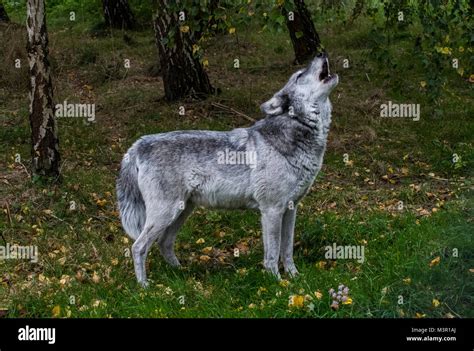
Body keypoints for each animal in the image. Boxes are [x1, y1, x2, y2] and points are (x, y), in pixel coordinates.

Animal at [116, 53, 338, 288]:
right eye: (299, 75)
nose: (321, 53)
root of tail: (138, 145)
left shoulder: (291, 209)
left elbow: (287, 251)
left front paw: (295, 279)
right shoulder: (271, 210)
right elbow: (272, 254)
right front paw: (276, 282)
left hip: (181, 211)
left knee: (164, 243)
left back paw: (181, 274)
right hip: (165, 214)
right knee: (138, 247)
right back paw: (144, 287)